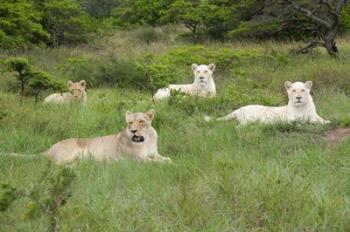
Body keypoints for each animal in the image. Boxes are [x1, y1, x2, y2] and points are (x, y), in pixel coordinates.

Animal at [43, 109, 172, 164]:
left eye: (141, 121)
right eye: (130, 123)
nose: (133, 131)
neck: (145, 140)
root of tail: (48, 150)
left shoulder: (154, 153)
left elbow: (167, 159)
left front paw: (172, 162)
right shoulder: (138, 159)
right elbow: (156, 162)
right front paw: (169, 165)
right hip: (69, 154)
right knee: (55, 165)